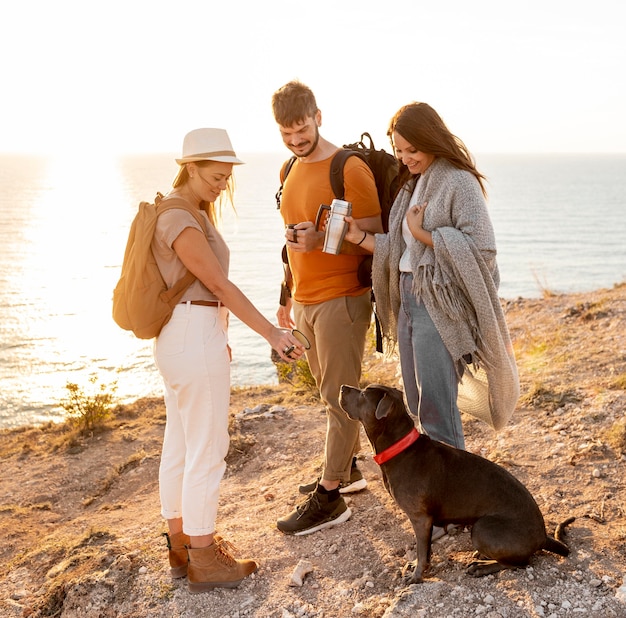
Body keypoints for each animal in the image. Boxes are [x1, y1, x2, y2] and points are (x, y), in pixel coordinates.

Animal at [338, 382, 572, 580]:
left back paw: (481, 567)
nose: (342, 387)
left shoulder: (420, 519)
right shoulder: (425, 521)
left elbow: (422, 551)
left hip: (482, 528)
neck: (400, 447)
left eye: (363, 394)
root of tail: (542, 536)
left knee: (521, 563)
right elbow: (424, 551)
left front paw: (416, 576)